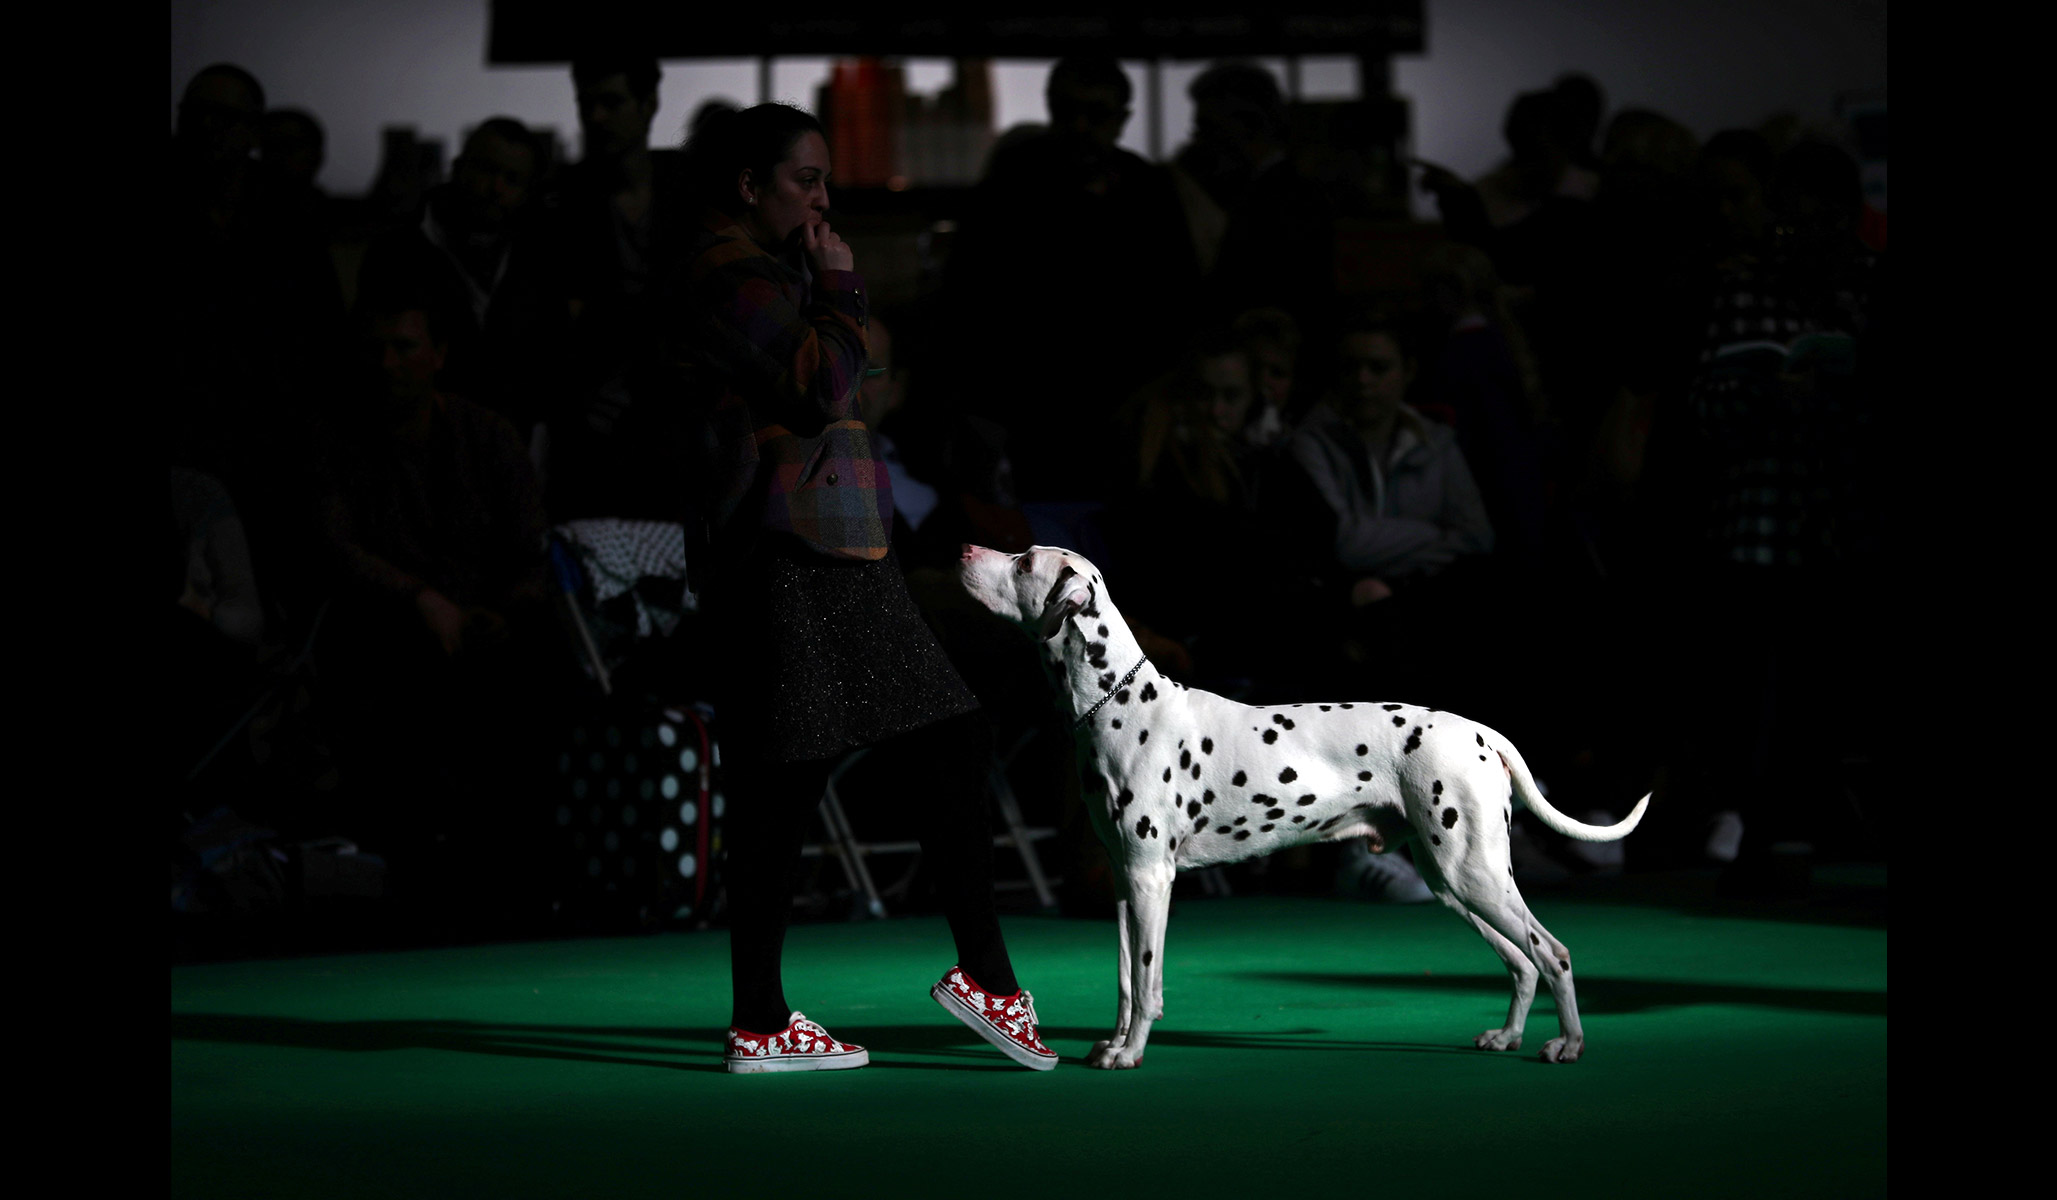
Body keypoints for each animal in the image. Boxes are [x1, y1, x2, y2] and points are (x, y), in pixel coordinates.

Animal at [954, 547, 1645, 1070]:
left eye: (1023, 563)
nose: (963, 550)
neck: (1121, 702)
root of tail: (1480, 731)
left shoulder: (1152, 880)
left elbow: (1147, 986)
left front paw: (1132, 1054)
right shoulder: (1125, 882)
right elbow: (1125, 982)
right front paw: (1113, 1044)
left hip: (1474, 876)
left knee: (1552, 954)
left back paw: (1569, 1044)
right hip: (1453, 883)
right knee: (1522, 963)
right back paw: (1508, 1036)